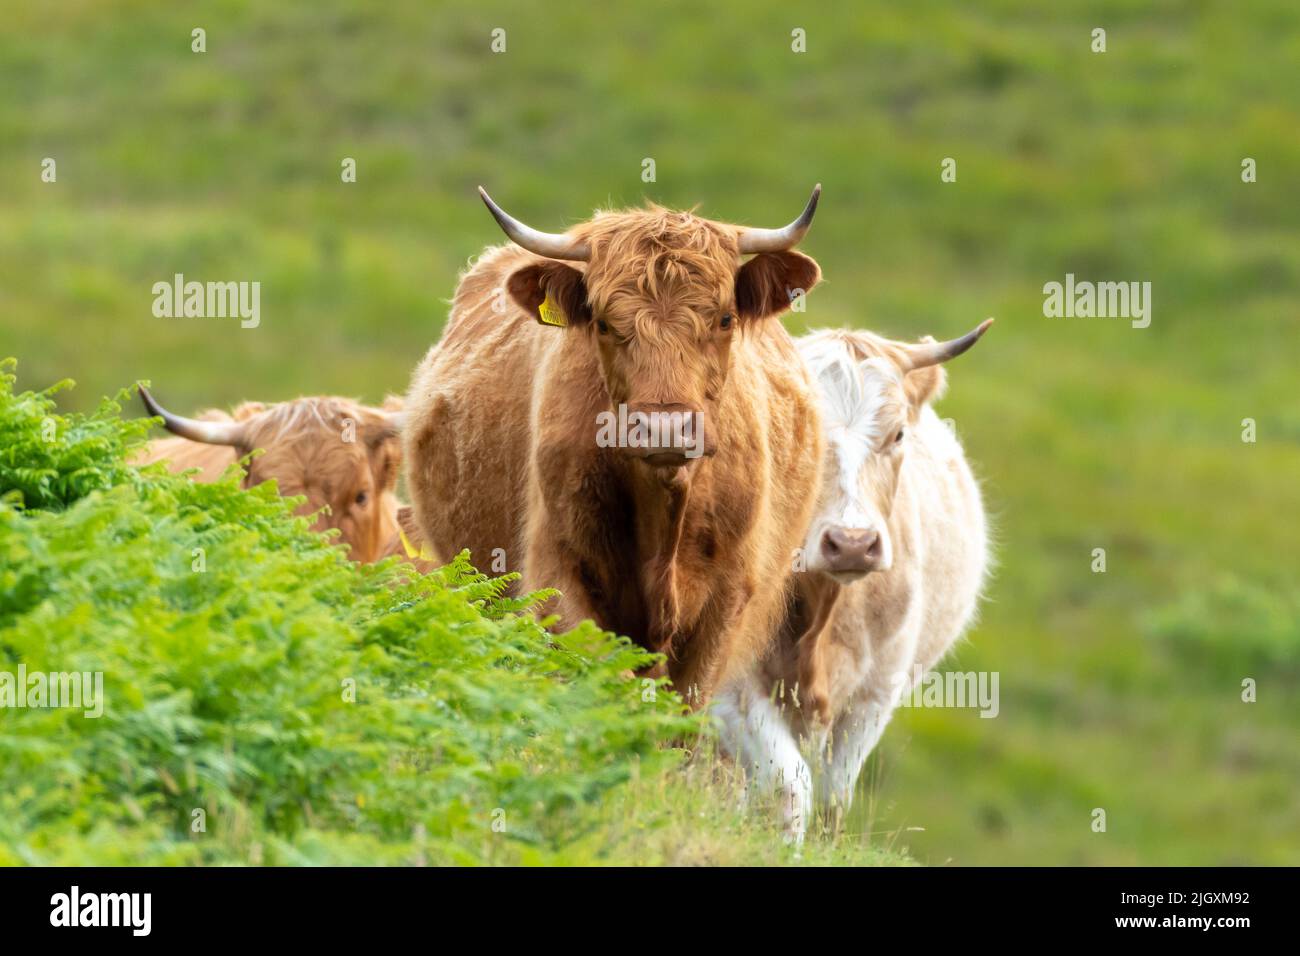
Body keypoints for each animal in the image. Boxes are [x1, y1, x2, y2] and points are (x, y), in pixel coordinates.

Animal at [713, 319, 993, 840]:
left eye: (898, 433)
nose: (852, 542)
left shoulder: (874, 695)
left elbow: (831, 802)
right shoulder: (730, 683)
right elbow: (789, 788)